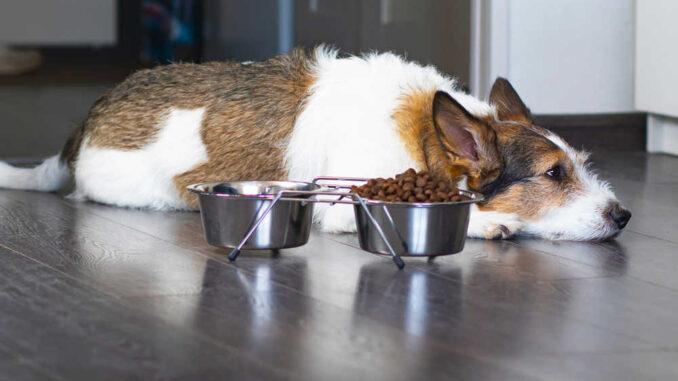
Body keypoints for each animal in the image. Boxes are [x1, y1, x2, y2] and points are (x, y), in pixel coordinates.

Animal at [0, 46, 632, 239]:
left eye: (579, 164)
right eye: (554, 174)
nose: (623, 215)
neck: (425, 137)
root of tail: (84, 128)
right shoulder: (342, 205)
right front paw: (485, 223)